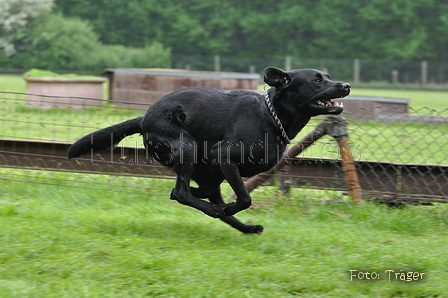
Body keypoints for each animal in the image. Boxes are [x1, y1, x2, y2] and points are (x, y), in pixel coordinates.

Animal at [68, 66, 352, 234]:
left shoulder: (218, 166)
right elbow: (244, 198)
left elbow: (225, 195)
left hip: (200, 161)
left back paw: (245, 227)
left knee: (195, 192)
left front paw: (227, 211)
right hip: (187, 146)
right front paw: (225, 207)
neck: (271, 117)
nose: (347, 85)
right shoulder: (223, 155)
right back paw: (215, 209)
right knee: (182, 192)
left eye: (327, 76)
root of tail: (144, 118)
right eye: (317, 80)